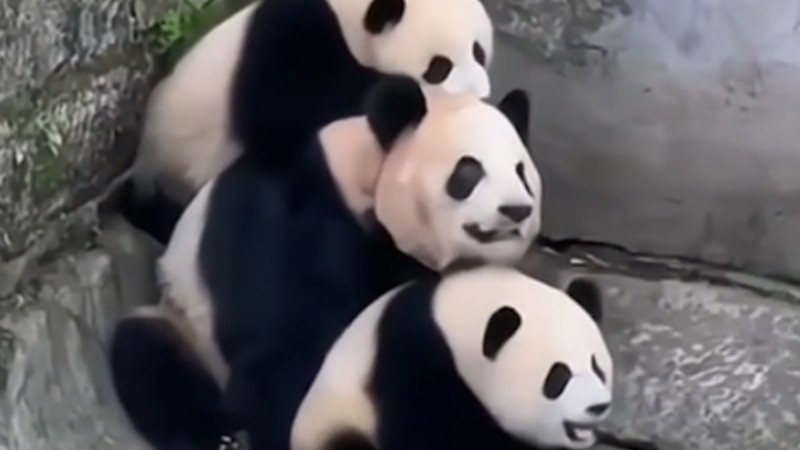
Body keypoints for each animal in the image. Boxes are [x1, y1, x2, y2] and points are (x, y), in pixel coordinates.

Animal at [109, 77, 540, 450]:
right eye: (469, 172)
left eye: (522, 173)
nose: (517, 210)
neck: (365, 169)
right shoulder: (300, 218)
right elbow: (284, 347)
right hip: (185, 323)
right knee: (148, 356)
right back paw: (218, 437)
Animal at [123, 0, 494, 246]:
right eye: (439, 67)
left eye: (478, 51)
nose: (481, 96)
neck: (348, 17)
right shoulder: (293, 36)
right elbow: (281, 114)